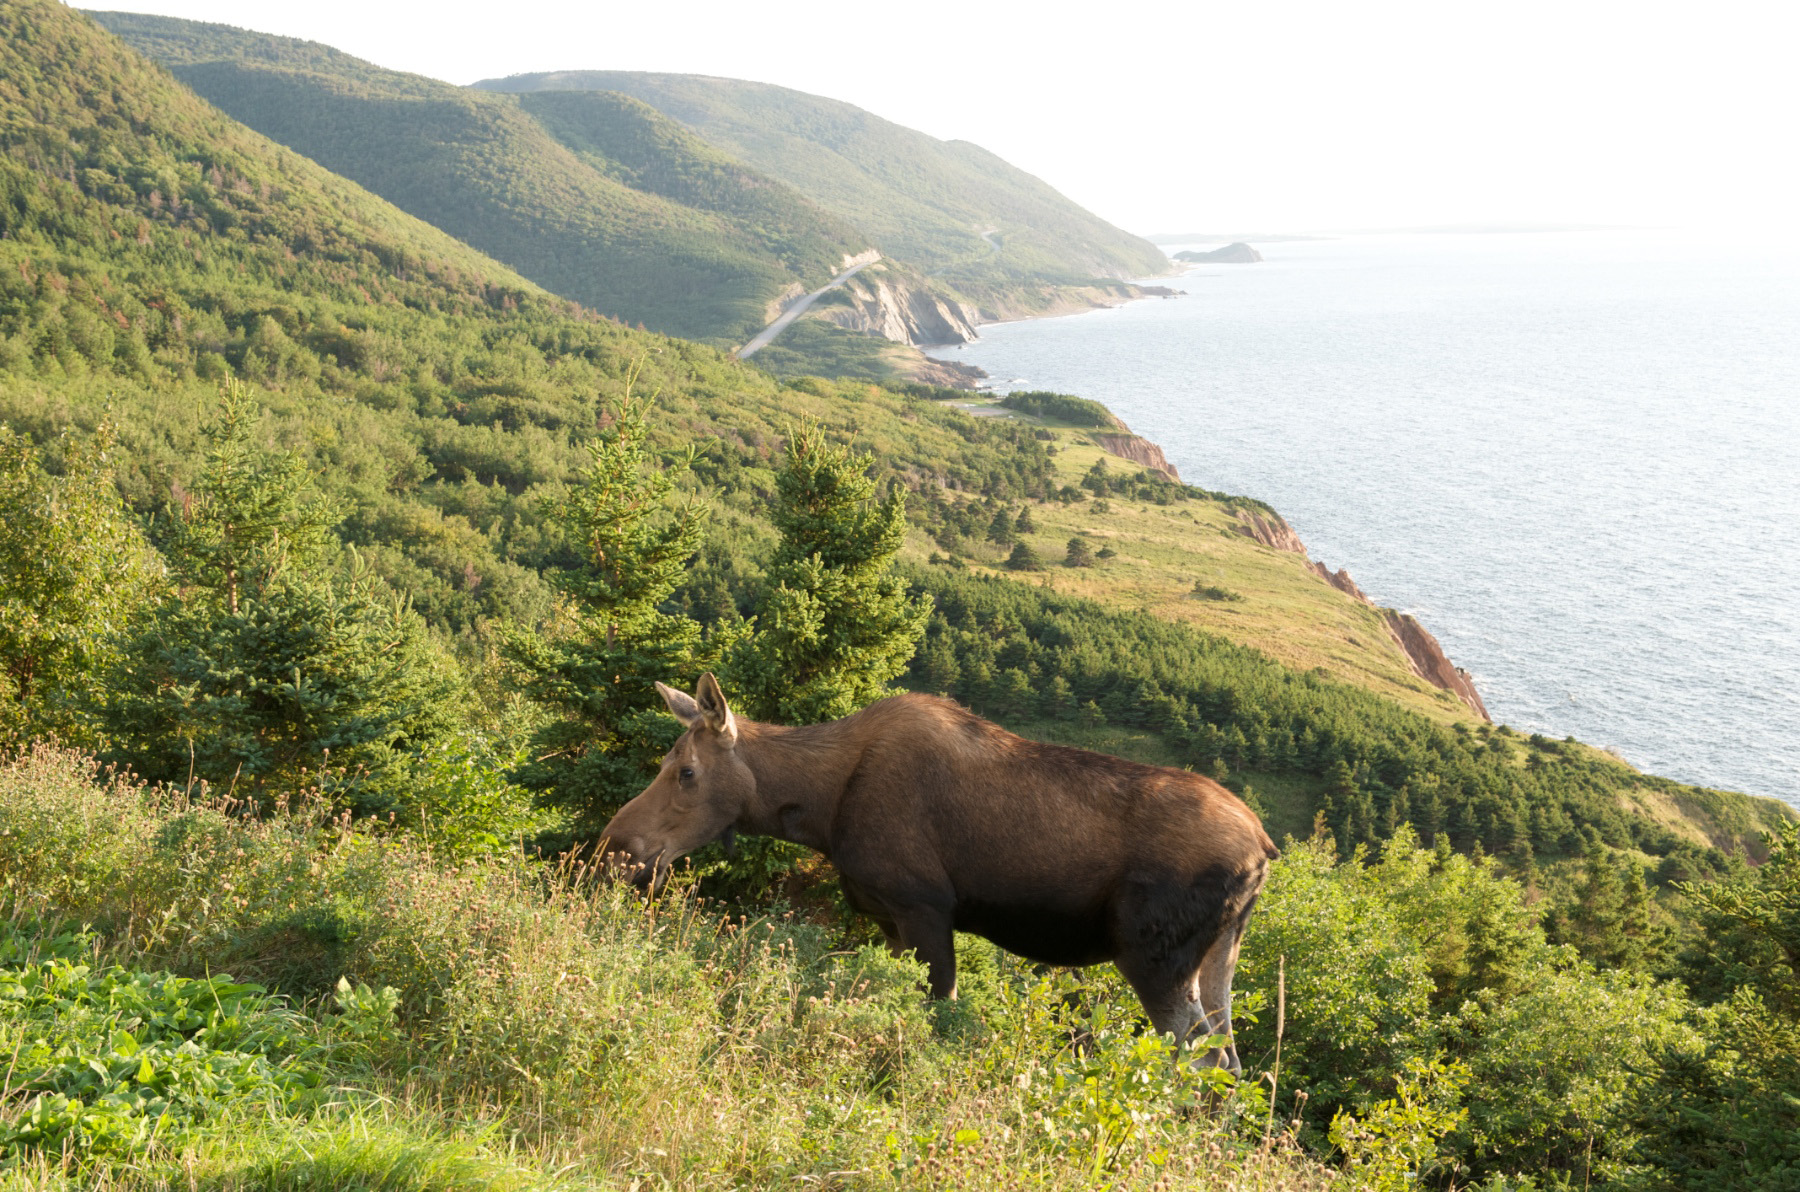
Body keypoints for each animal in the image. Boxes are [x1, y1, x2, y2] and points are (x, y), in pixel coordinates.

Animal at [599, 673, 1278, 1074]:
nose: (617, 845)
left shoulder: (925, 908)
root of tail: (1264, 851)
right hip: (1219, 955)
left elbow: (941, 1018)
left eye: (685, 770)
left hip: (1153, 957)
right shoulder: (891, 922)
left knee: (1199, 1060)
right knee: (1231, 1057)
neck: (820, 809)